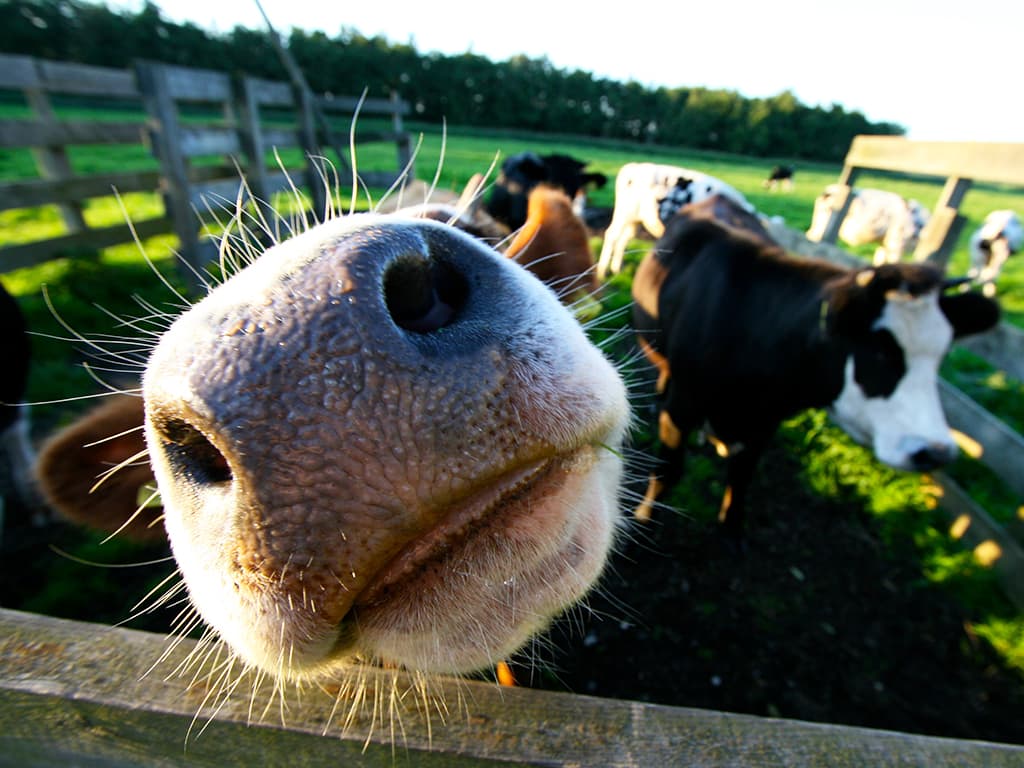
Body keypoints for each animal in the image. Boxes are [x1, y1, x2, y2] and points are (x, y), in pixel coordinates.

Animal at [593, 160, 753, 280]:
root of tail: (633, 166)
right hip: (624, 213)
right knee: (612, 235)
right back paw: (602, 272)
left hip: (635, 219)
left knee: (624, 239)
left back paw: (616, 270)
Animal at [630, 195, 999, 536]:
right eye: (878, 350)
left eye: (941, 355)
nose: (935, 453)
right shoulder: (683, 405)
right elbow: (668, 469)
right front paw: (644, 518)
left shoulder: (765, 422)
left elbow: (741, 479)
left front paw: (730, 528)